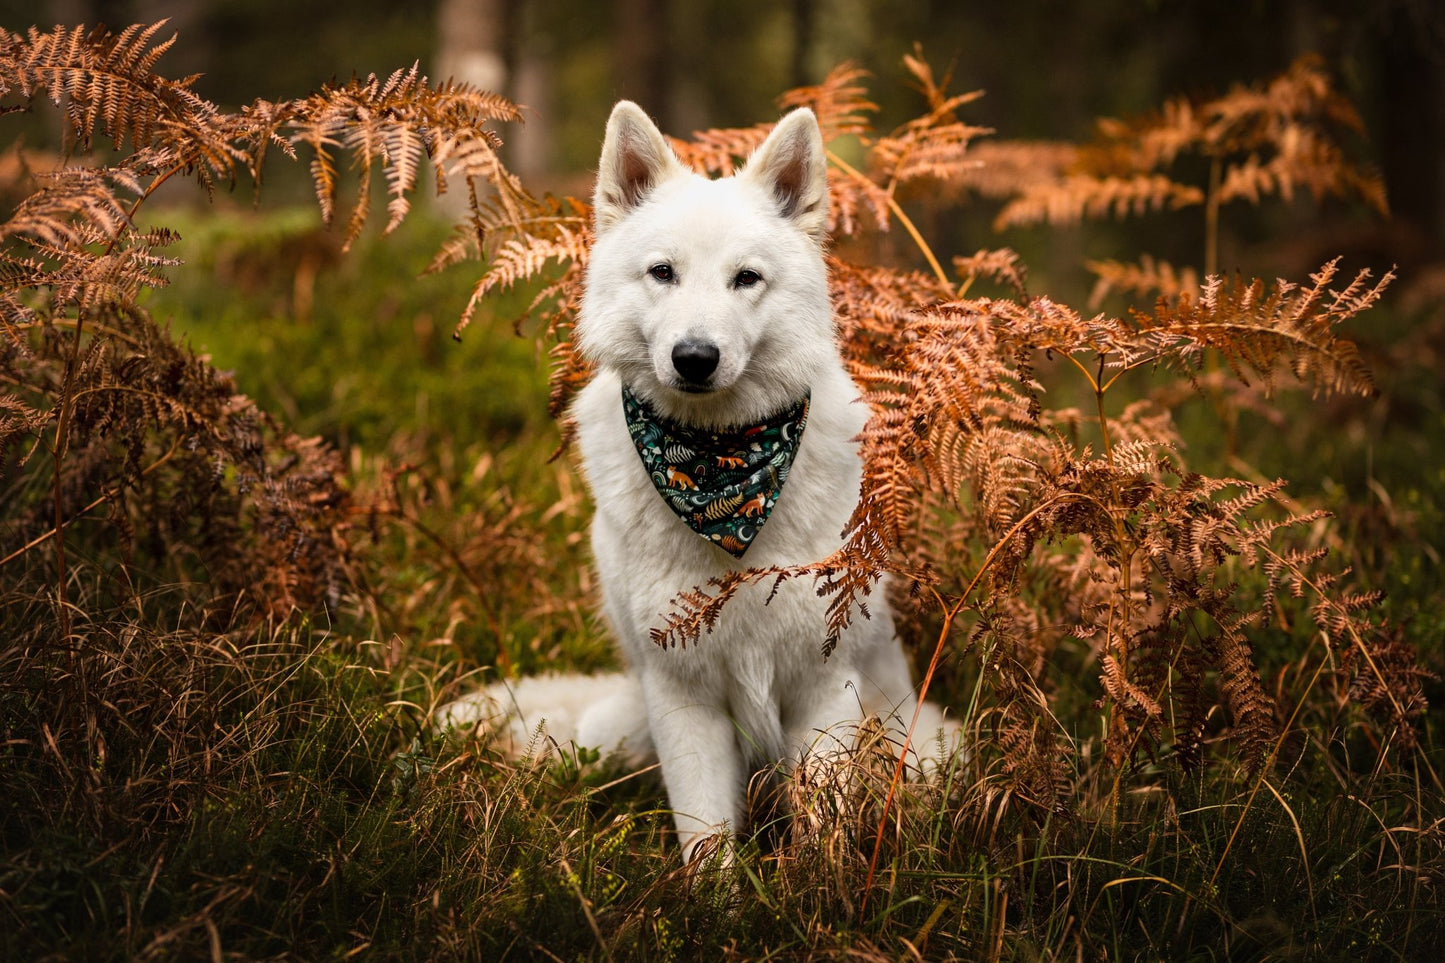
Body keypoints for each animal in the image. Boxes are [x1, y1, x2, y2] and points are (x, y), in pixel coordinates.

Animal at [440, 101, 959, 863]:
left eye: (746, 278)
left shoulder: (822, 684)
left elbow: (823, 824)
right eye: (663, 272)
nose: (694, 357)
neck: (720, 474)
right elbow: (705, 831)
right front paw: (717, 894)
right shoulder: (679, 693)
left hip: (926, 750)